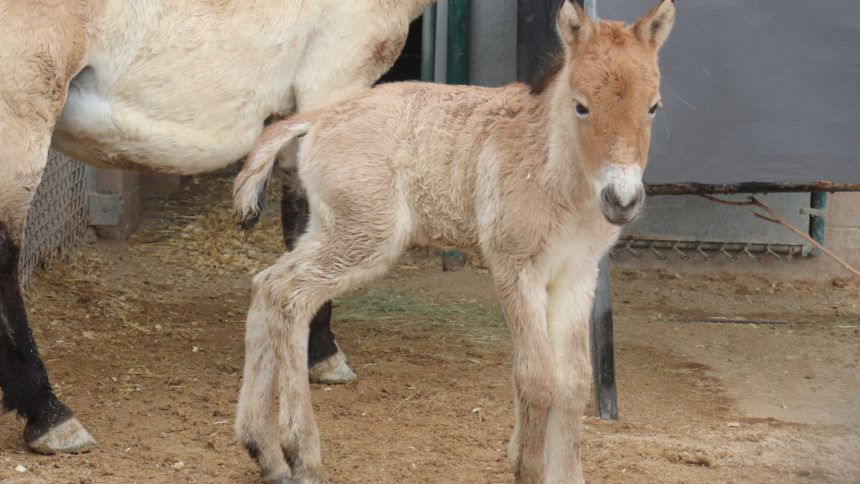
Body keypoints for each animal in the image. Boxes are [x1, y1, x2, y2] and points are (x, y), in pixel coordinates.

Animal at [233, 1, 672, 482]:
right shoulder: (515, 265)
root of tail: (316, 118)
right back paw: (303, 455)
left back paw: (265, 453)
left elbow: (574, 380)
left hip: (332, 230)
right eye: (581, 107)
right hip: (361, 237)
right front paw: (528, 467)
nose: (622, 200)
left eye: (653, 107)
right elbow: (537, 376)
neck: (555, 171)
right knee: (288, 296)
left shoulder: (576, 273)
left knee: (266, 286)